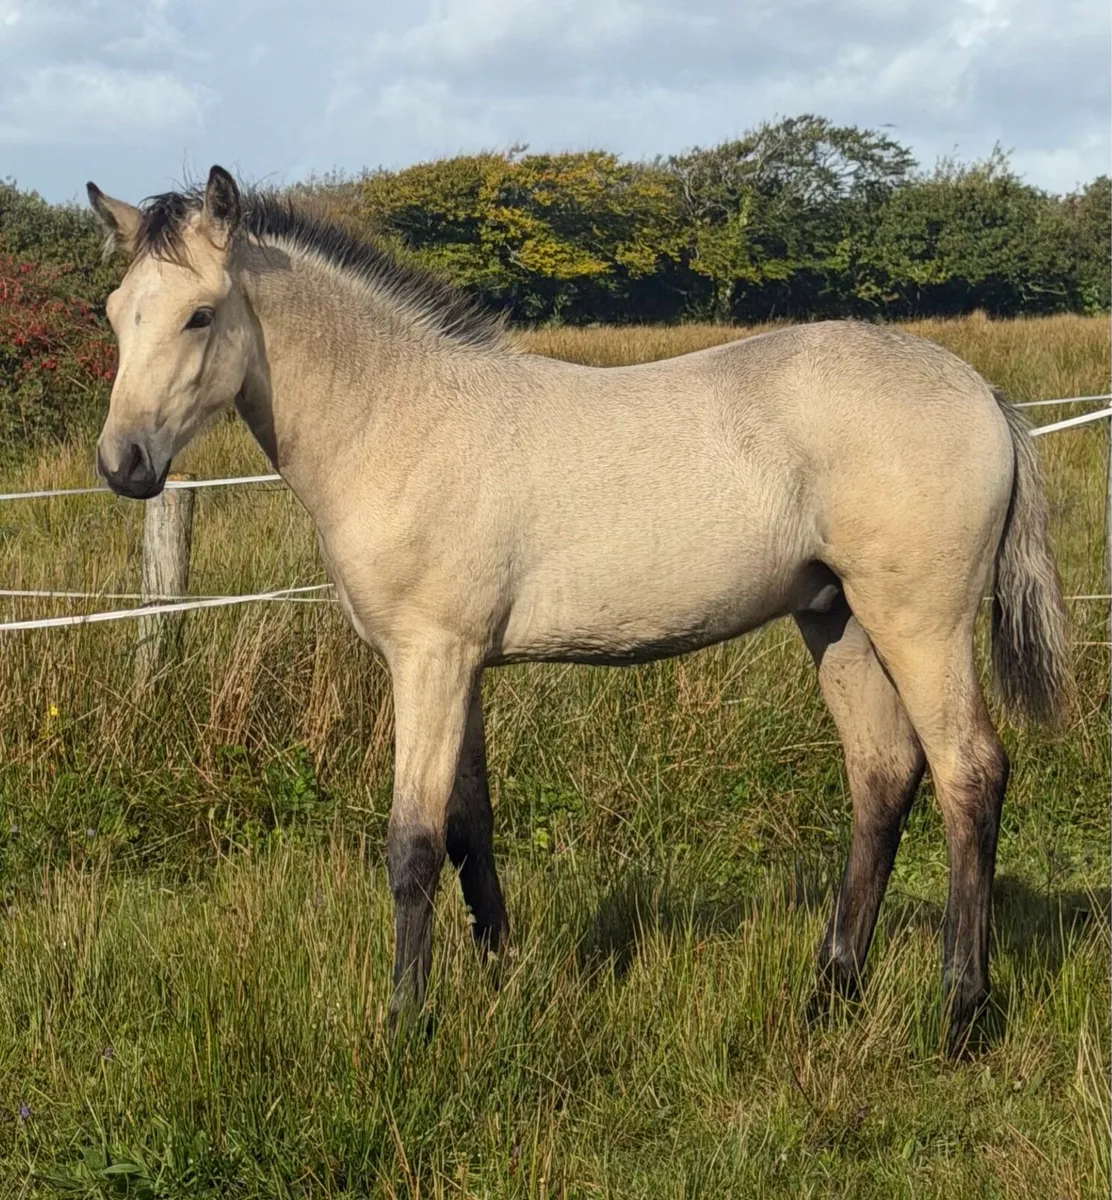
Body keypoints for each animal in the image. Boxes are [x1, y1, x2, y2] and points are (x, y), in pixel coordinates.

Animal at [86, 165, 1068, 1055]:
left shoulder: (429, 660)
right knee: (882, 776)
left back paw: (959, 1016)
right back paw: (829, 995)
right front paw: (499, 978)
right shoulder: (462, 667)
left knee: (969, 774)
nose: (123, 464)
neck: (401, 418)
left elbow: (412, 844)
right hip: (838, 622)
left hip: (919, 624)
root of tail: (982, 393)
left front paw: (406, 1025)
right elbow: (468, 828)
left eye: (200, 315)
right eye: (115, 311)